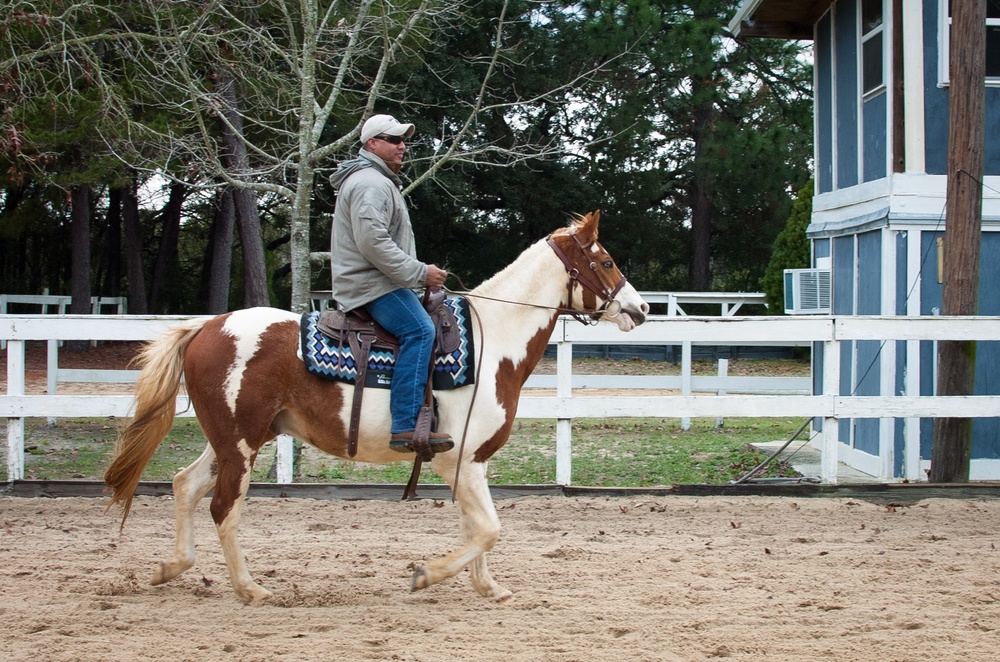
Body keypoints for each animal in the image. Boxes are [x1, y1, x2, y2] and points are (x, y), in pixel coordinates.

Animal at [103, 210, 648, 604]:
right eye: (605, 262)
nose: (641, 309)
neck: (491, 340)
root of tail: (207, 327)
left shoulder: (471, 463)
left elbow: (478, 527)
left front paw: (488, 587)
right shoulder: (457, 459)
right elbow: (489, 529)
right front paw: (426, 575)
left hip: (234, 439)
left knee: (185, 484)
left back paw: (172, 566)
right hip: (240, 442)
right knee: (222, 506)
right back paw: (250, 588)